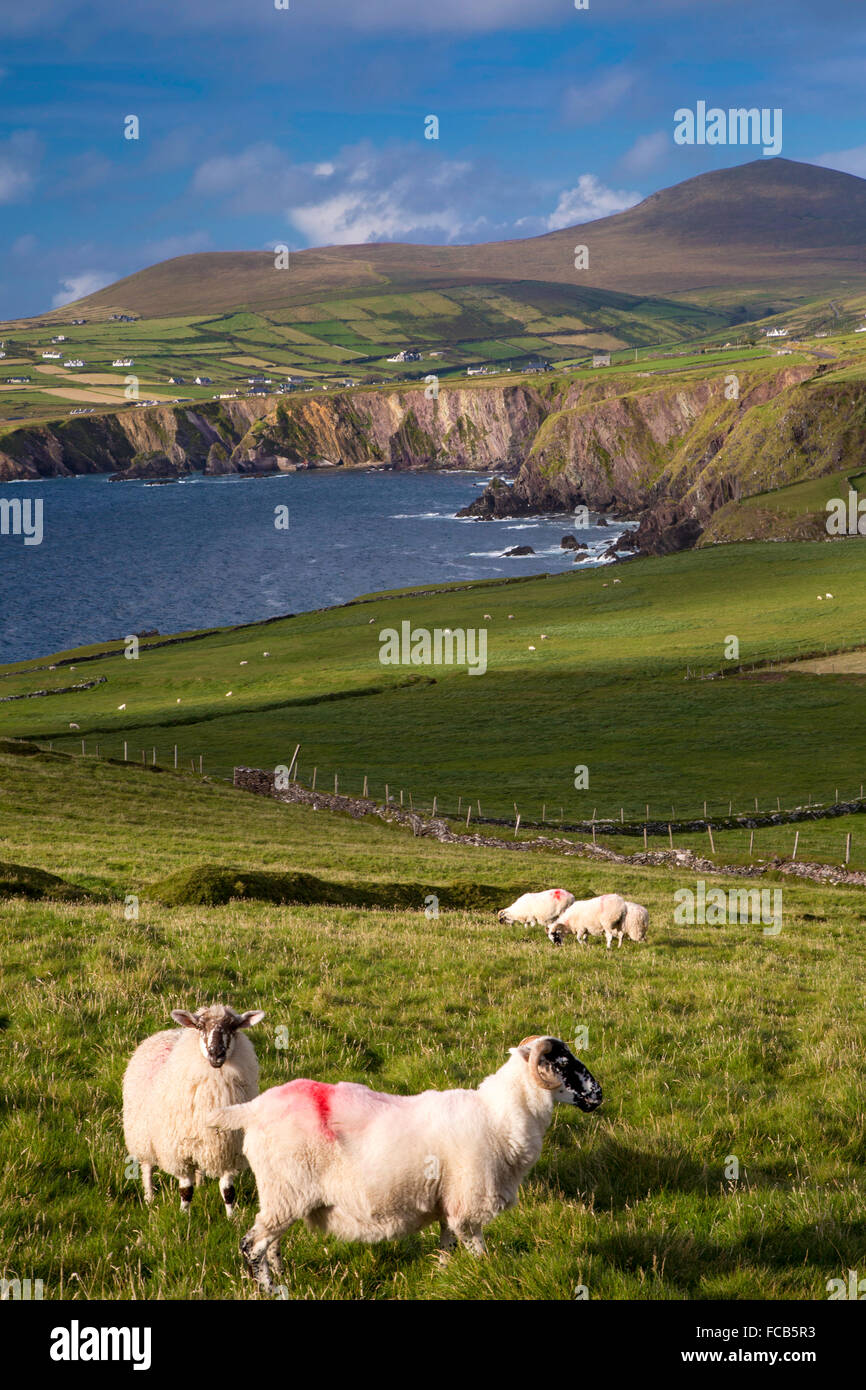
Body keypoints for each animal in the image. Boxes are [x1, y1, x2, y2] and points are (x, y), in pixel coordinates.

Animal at [122, 1000, 264, 1217]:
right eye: (200, 1027)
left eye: (233, 1027)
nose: (216, 1053)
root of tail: (170, 1031)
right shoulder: (179, 1152)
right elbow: (186, 1190)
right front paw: (184, 1215)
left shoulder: (229, 1150)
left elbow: (228, 1191)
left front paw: (232, 1218)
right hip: (142, 1135)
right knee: (147, 1167)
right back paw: (149, 1197)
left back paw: (201, 1182)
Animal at [209, 1034, 603, 1289]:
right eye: (562, 1062)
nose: (598, 1094)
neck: (498, 1115)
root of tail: (256, 1107)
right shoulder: (469, 1204)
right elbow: (478, 1252)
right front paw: (488, 1275)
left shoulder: (449, 1201)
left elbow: (447, 1246)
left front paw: (444, 1277)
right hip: (285, 1191)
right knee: (252, 1246)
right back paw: (269, 1289)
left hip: (282, 1196)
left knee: (270, 1245)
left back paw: (281, 1279)